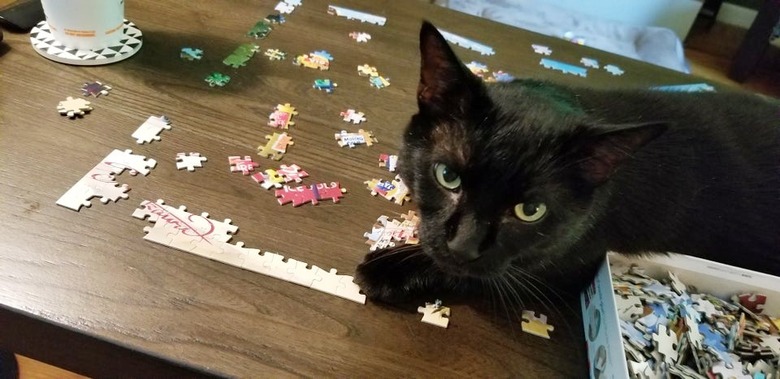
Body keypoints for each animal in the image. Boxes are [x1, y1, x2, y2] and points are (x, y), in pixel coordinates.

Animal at [354, 21, 780, 306]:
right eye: (447, 176)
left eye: (530, 211)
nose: (464, 246)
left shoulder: (575, 263)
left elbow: (492, 275)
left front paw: (392, 270)